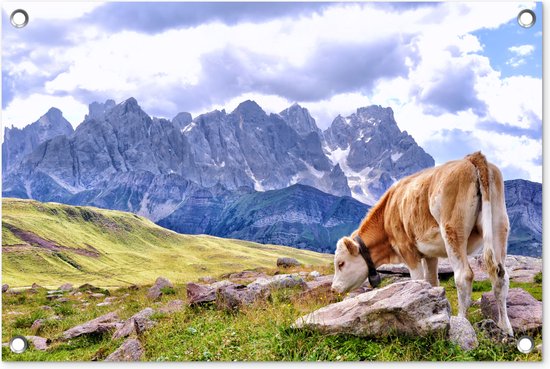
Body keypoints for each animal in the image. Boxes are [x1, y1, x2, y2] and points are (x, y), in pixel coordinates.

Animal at [332, 151, 516, 334]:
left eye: (341, 263)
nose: (333, 289)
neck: (387, 214)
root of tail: (472, 158)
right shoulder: (429, 254)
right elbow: (432, 282)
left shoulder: (407, 249)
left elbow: (418, 281)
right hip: (499, 225)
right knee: (500, 276)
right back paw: (505, 328)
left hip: (452, 230)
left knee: (464, 276)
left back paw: (461, 321)